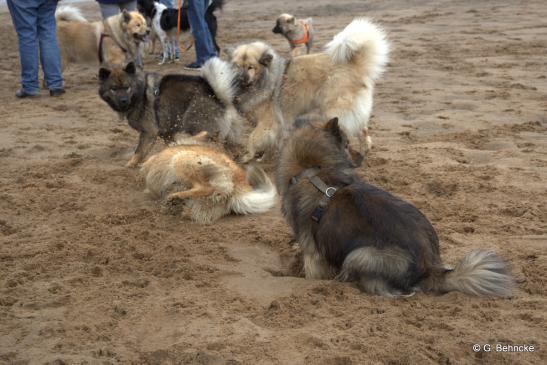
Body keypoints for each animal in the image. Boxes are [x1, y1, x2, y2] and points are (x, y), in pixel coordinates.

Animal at [98, 58, 244, 166]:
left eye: (127, 87)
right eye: (113, 89)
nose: (123, 100)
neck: (140, 92)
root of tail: (216, 95)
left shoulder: (149, 132)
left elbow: (138, 152)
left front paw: (130, 165)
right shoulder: (166, 133)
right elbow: (172, 147)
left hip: (194, 125)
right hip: (227, 135)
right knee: (235, 151)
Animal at [229, 18, 392, 162]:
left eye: (251, 67)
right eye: (237, 66)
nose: (239, 79)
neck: (265, 79)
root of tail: (354, 65)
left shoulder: (269, 123)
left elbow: (252, 139)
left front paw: (246, 156)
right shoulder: (276, 125)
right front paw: (264, 158)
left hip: (334, 110)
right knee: (363, 130)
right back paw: (364, 151)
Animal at [276, 118, 516, 298]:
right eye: (346, 143)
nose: (360, 157)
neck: (313, 169)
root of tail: (430, 267)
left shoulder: (313, 255)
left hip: (360, 255)